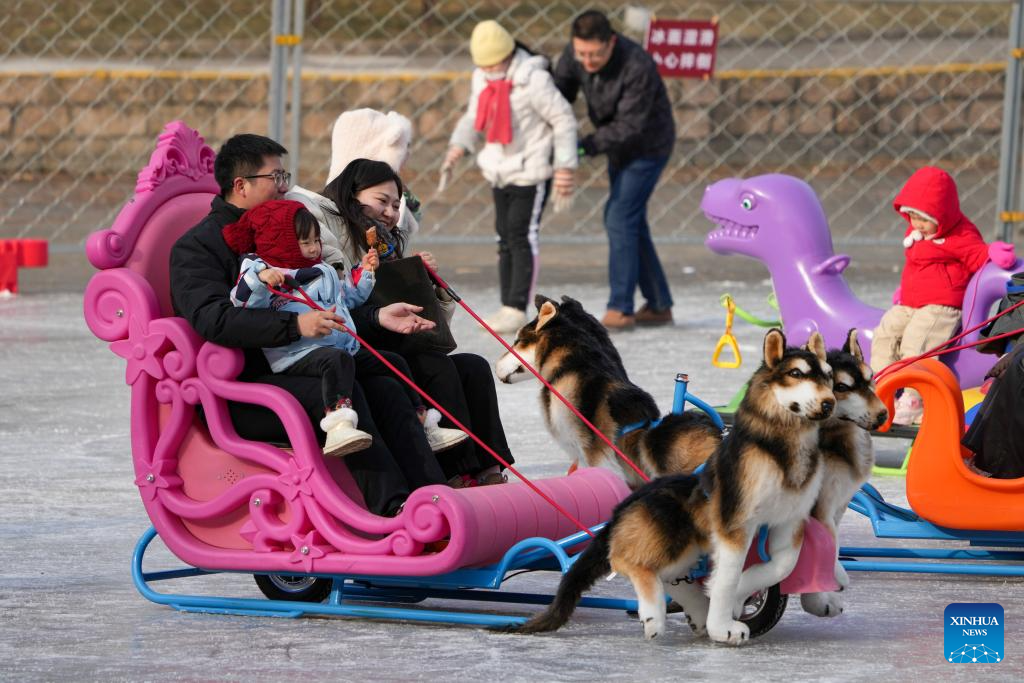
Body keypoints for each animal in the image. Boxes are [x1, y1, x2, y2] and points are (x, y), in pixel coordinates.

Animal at [516, 327, 835, 643]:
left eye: (829, 375)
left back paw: (692, 610)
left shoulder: (788, 522)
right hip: (671, 535)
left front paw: (741, 594)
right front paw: (723, 625)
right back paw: (654, 614)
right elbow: (728, 578)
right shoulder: (734, 525)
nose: (829, 403)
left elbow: (781, 567)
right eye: (795, 373)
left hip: (688, 546)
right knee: (623, 559)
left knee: (667, 575)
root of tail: (627, 503)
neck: (778, 454)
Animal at [798, 329, 888, 618]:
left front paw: (835, 575)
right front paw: (817, 599)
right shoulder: (818, 509)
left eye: (870, 378)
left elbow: (832, 546)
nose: (883, 414)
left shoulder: (837, 504)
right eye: (841, 387)